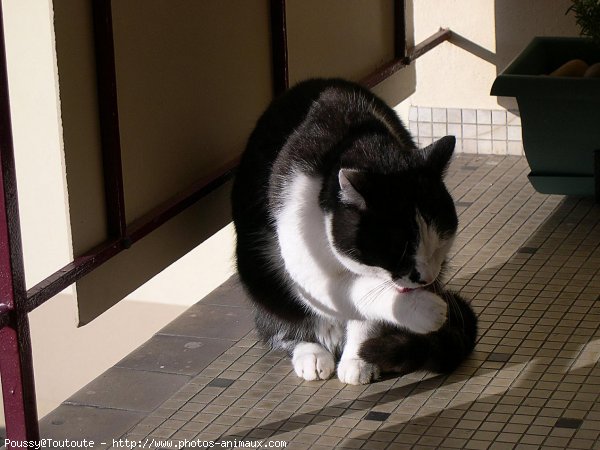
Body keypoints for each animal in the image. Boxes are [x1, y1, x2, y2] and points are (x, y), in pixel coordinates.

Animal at [232, 79, 476, 384]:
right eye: (398, 251)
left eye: (439, 244)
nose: (426, 279)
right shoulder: (302, 251)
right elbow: (357, 292)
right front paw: (422, 310)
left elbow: (365, 312)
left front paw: (359, 358)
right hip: (260, 274)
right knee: (276, 326)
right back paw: (312, 351)